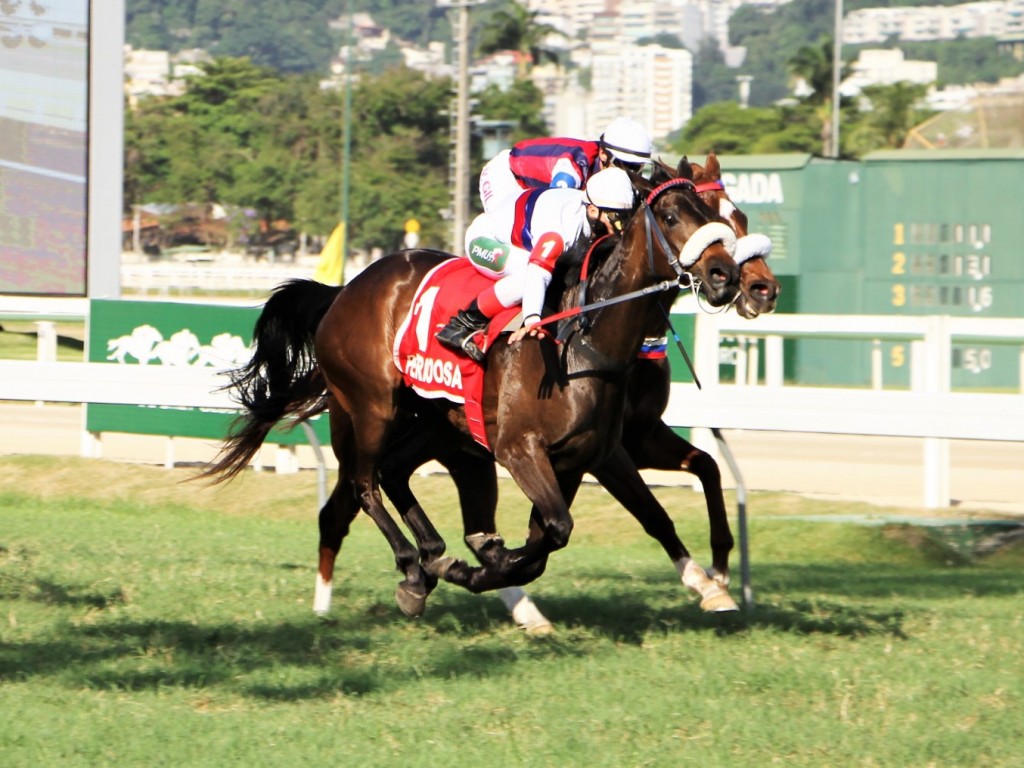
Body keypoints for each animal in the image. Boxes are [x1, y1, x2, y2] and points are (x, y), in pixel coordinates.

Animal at [205, 157, 737, 618]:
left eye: (719, 217)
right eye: (670, 216)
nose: (727, 276)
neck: (584, 342)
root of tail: (346, 290)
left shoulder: (580, 458)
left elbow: (547, 541)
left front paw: (482, 560)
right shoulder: (521, 449)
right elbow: (558, 532)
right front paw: (479, 564)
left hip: (435, 422)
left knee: (391, 474)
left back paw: (430, 558)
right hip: (373, 406)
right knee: (364, 484)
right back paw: (412, 567)